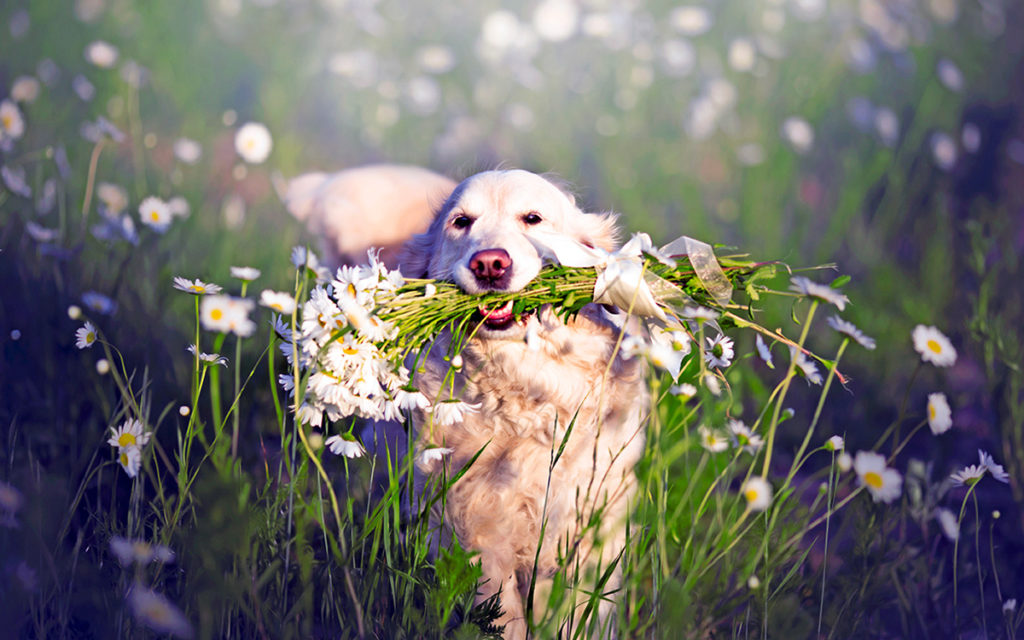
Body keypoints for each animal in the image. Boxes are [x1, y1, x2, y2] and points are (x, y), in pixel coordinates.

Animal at [399, 166, 647, 634]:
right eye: (461, 222)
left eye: (532, 218)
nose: (489, 263)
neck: (524, 396)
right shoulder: (472, 524)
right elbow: (501, 611)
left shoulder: (589, 525)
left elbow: (574, 612)